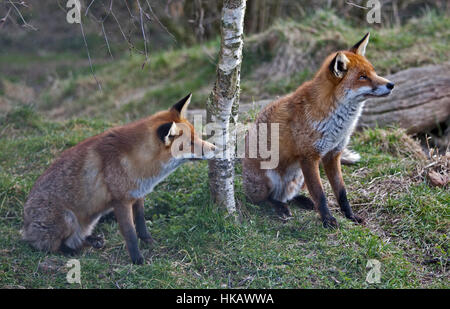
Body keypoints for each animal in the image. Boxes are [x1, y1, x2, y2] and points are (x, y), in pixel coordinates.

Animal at [22, 93, 216, 262]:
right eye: (191, 143)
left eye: (197, 136)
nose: (215, 148)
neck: (138, 161)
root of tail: (25, 228)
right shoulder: (120, 201)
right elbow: (130, 233)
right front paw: (137, 260)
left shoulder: (138, 194)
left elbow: (141, 224)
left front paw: (149, 242)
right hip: (68, 219)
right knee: (55, 246)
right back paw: (73, 250)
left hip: (88, 222)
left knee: (75, 239)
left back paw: (92, 241)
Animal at [243, 33, 394, 226]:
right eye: (362, 77)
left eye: (374, 72)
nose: (391, 84)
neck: (337, 124)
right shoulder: (309, 157)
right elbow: (320, 194)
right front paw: (328, 220)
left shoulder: (333, 155)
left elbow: (341, 192)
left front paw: (350, 216)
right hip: (271, 176)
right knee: (266, 199)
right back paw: (280, 207)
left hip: (299, 177)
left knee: (289, 196)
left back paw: (301, 201)